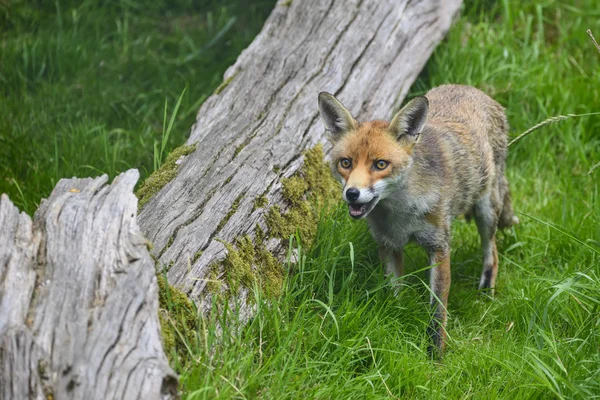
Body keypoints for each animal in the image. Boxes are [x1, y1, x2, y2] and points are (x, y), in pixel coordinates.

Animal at [316, 85, 516, 356]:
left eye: (380, 164)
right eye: (345, 163)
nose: (352, 194)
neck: (401, 214)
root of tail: (472, 89)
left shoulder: (439, 246)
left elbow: (437, 313)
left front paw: (435, 357)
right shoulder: (388, 244)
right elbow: (394, 293)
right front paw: (397, 318)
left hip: (486, 212)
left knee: (492, 254)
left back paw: (485, 292)